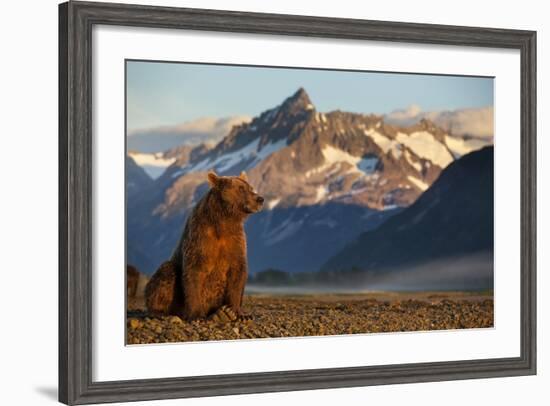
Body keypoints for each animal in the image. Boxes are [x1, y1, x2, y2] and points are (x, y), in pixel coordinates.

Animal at [144, 171, 266, 320]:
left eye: (250, 187)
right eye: (241, 188)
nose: (260, 199)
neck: (224, 219)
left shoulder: (235, 240)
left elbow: (238, 273)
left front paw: (237, 312)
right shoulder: (200, 238)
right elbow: (194, 272)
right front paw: (196, 315)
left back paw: (222, 314)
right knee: (165, 274)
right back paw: (159, 312)